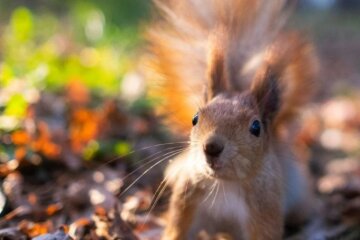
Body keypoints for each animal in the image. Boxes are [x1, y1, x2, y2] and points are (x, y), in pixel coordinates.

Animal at [146, 0, 318, 239]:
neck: (224, 186)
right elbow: (177, 231)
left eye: (256, 127)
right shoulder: (187, 202)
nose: (212, 147)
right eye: (195, 118)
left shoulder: (264, 211)